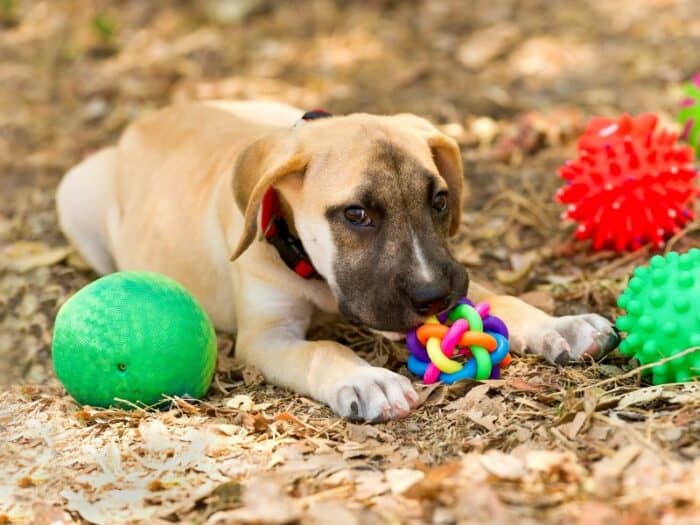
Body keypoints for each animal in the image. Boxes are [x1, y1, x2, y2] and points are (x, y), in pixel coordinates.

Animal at [58, 101, 616, 422]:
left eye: (439, 200)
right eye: (356, 214)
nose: (433, 297)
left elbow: (502, 298)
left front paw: (560, 325)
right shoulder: (266, 338)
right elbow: (322, 350)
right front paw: (368, 380)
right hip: (74, 193)